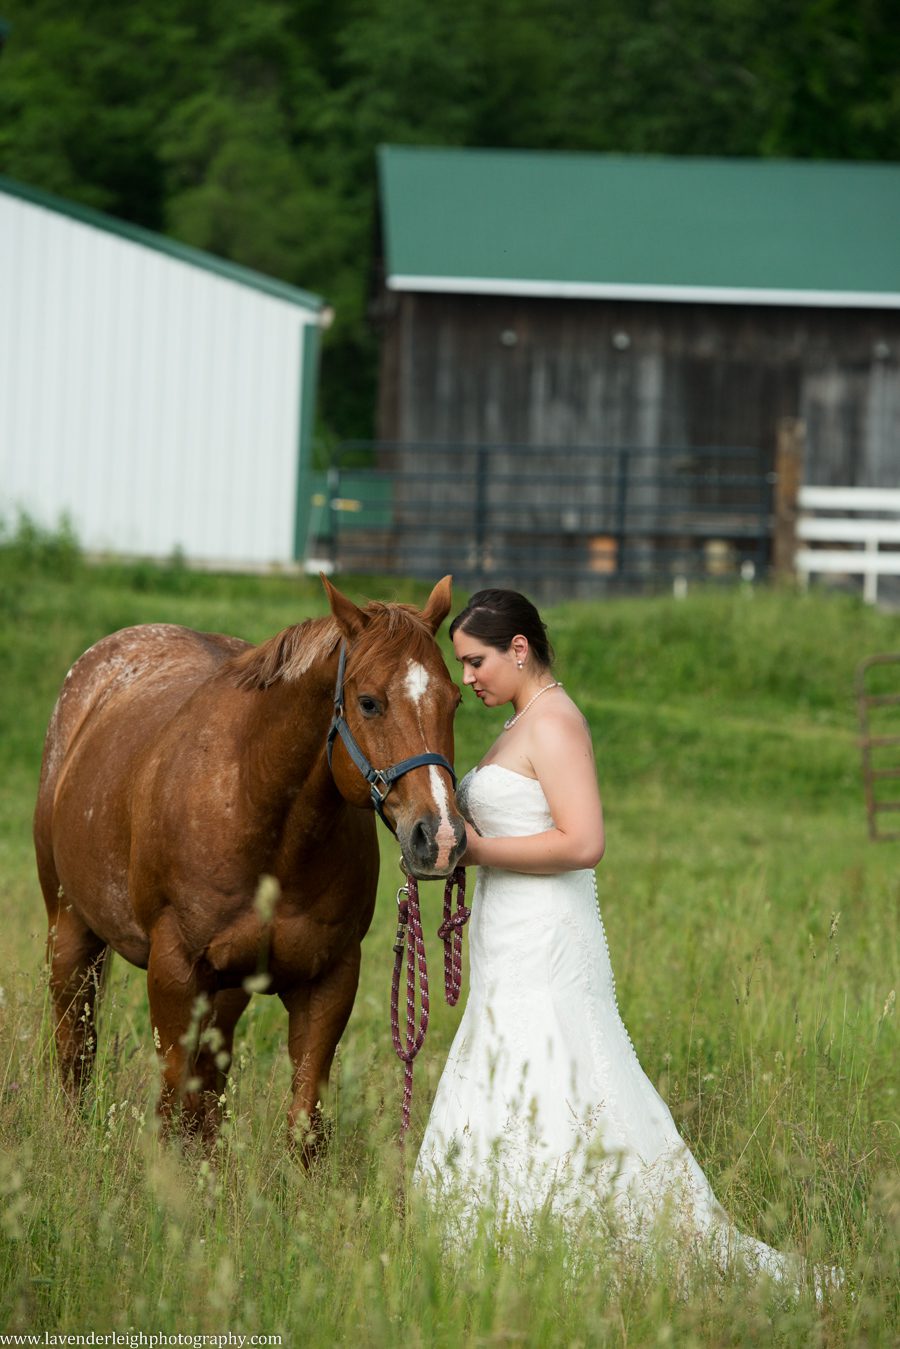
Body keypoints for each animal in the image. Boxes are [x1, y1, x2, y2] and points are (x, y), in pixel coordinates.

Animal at [33, 574, 467, 1149]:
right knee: (75, 1048)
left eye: (455, 700)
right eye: (369, 702)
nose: (439, 836)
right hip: (69, 931)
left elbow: (303, 1124)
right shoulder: (174, 973)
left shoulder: (329, 981)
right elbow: (170, 1106)